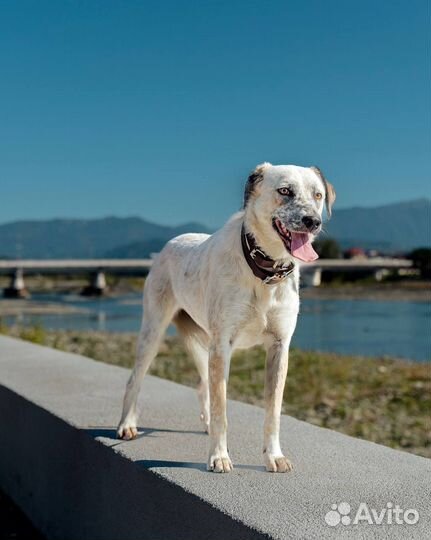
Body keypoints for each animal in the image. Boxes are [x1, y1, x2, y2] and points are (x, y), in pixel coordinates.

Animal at [118, 163, 338, 472]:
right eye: (285, 191)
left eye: (318, 195)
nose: (313, 222)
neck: (264, 272)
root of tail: (171, 242)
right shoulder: (223, 344)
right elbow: (222, 407)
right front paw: (219, 456)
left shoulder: (279, 347)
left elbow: (273, 412)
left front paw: (273, 455)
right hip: (153, 331)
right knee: (135, 379)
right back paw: (127, 424)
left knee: (203, 386)